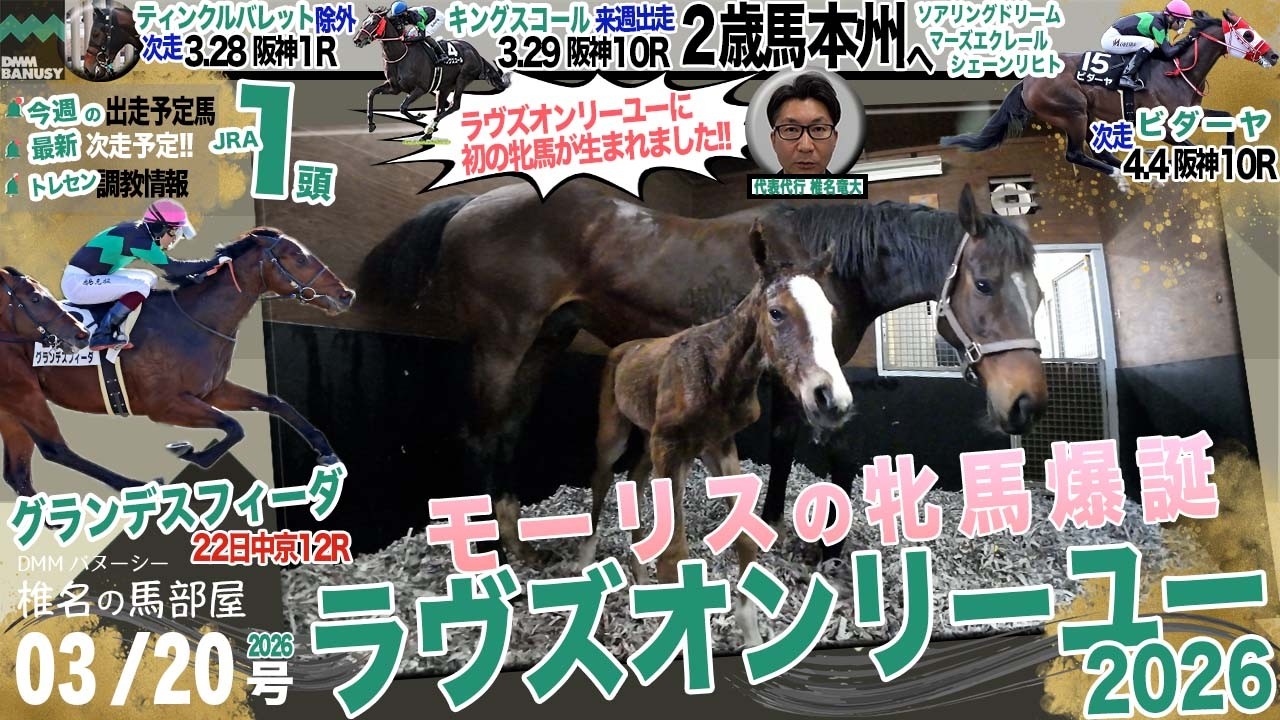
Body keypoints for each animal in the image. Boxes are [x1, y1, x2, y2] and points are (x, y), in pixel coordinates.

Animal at [0, 229, 356, 498]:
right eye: (299, 257)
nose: (347, 295)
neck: (197, 320)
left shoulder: (212, 391)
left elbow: (275, 403)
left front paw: (326, 451)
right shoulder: (165, 405)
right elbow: (234, 426)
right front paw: (187, 450)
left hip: (11, 408)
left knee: (19, 473)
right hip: (24, 395)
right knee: (54, 449)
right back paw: (138, 487)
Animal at [353, 6, 511, 139]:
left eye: (374, 22)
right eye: (364, 21)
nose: (357, 40)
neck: (401, 54)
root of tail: (476, 53)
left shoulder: (421, 89)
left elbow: (403, 107)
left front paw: (419, 115)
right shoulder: (394, 88)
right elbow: (371, 93)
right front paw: (371, 124)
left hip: (463, 78)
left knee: (454, 105)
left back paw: (429, 128)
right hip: (445, 86)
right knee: (442, 107)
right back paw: (428, 132)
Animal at [356, 180, 1048, 566]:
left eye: (1037, 294)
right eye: (984, 284)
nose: (1026, 403)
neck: (832, 265)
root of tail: (473, 203)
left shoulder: (802, 379)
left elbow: (784, 448)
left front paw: (776, 528)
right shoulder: (808, 378)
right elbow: (835, 455)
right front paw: (821, 548)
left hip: (543, 343)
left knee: (506, 431)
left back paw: (520, 545)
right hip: (503, 345)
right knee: (481, 434)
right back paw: (490, 555)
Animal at [577, 220, 851, 645]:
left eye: (830, 314)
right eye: (776, 313)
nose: (831, 399)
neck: (718, 373)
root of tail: (623, 348)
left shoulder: (718, 446)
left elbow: (744, 538)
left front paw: (750, 633)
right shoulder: (670, 445)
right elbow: (674, 550)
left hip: (654, 441)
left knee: (635, 480)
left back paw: (639, 575)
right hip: (619, 433)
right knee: (603, 478)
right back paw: (587, 563)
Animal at [942, 9, 1277, 192]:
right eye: (1247, 34)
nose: (1273, 55)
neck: (1178, 69)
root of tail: (1028, 79)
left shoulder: (1189, 113)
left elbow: (1228, 118)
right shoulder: (1167, 128)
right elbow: (1195, 149)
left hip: (1088, 116)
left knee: (1100, 152)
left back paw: (1135, 172)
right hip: (1072, 113)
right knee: (1076, 153)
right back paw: (1125, 174)